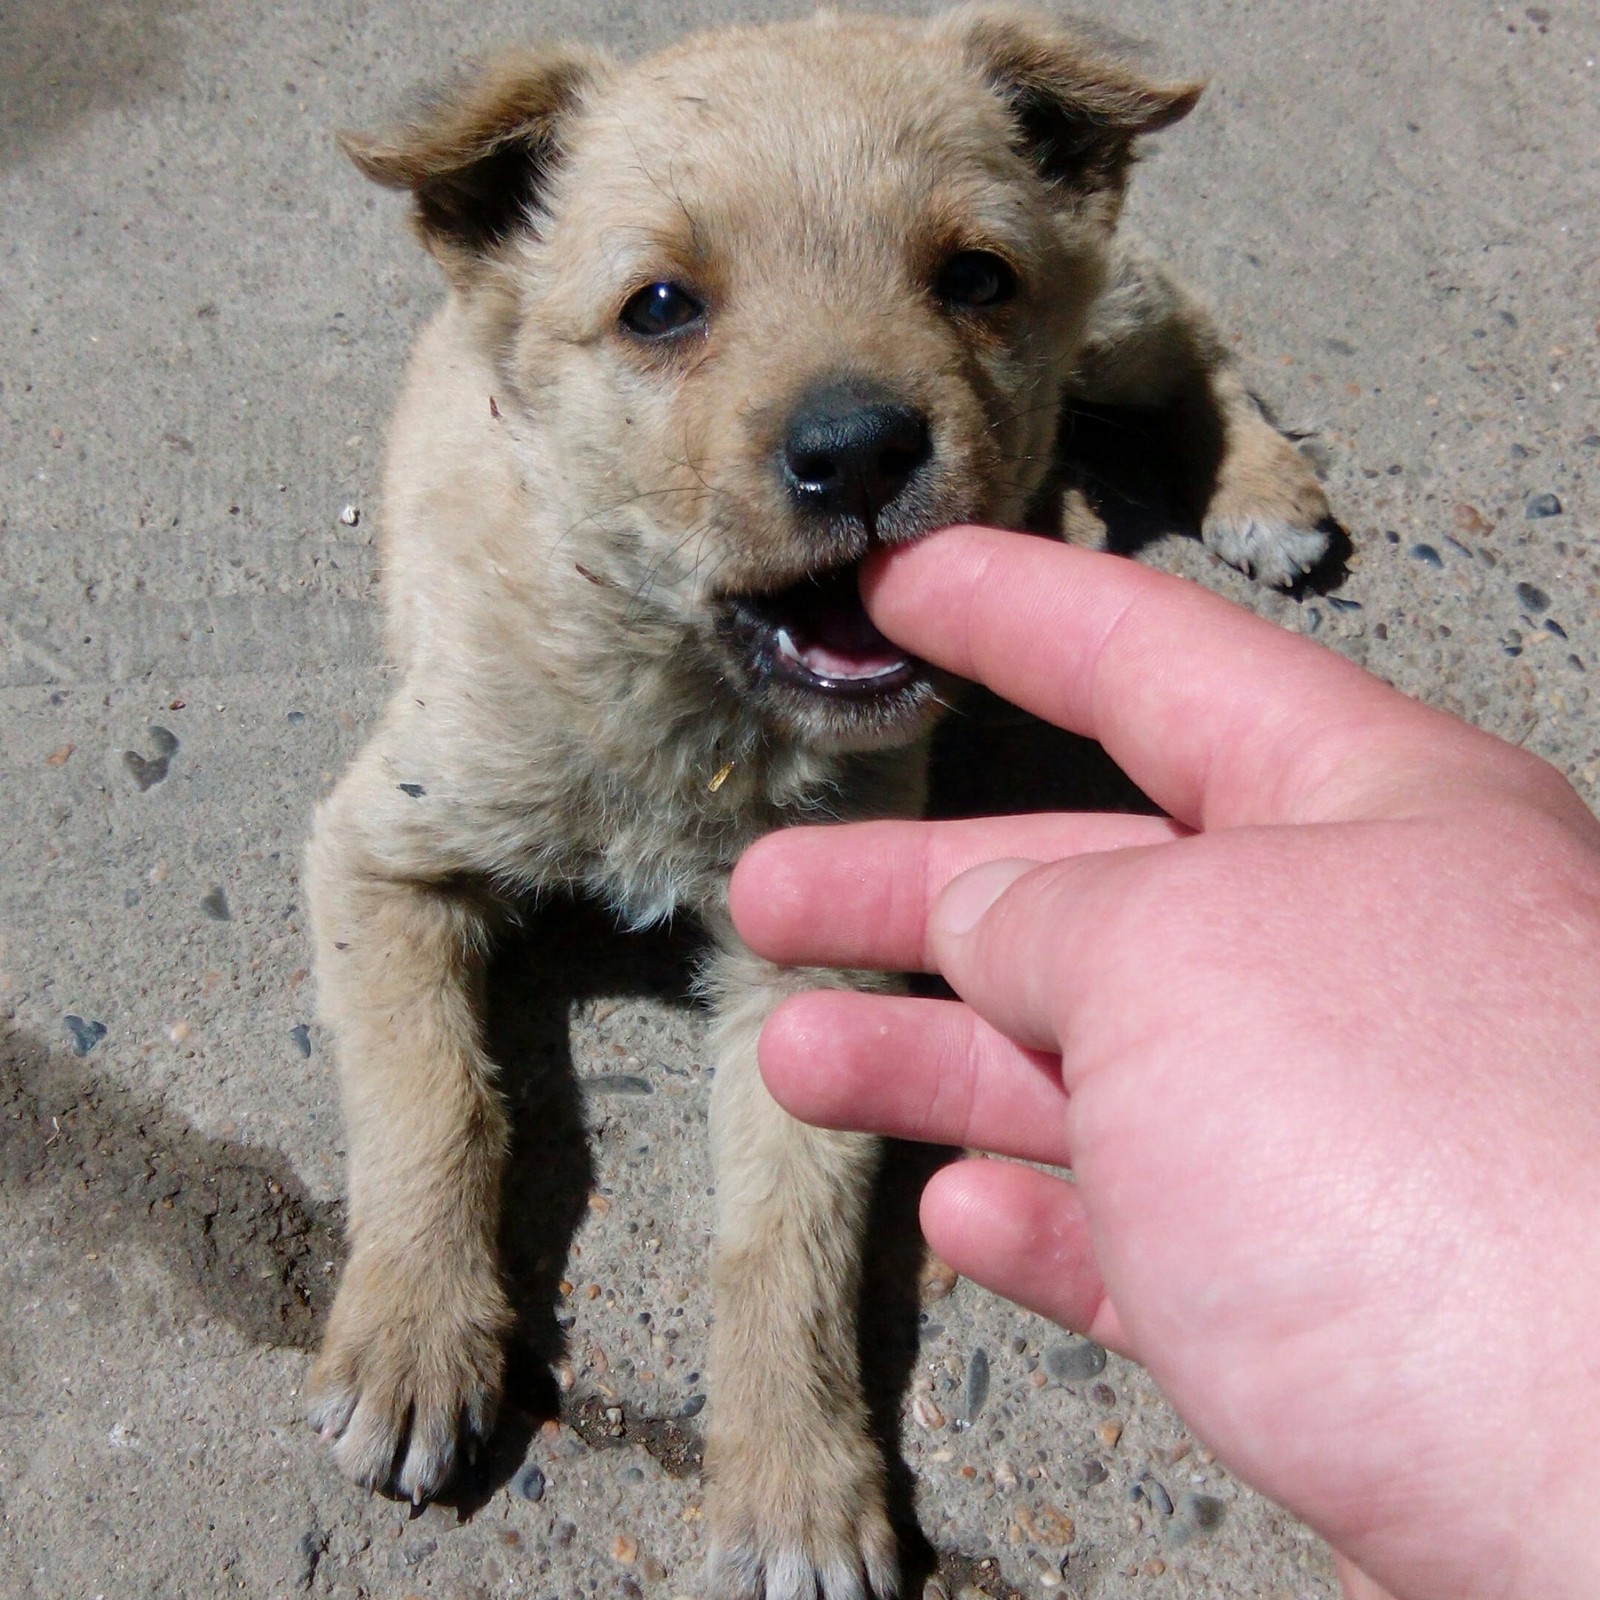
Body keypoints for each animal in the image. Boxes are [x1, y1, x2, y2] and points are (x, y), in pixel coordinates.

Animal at [305, 6, 1331, 1593]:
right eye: (660, 305)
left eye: (972, 277)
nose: (857, 451)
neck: (684, 692)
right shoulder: (384, 850)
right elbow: (433, 1094)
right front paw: (413, 1334)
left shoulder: (817, 973)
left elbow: (785, 1240)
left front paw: (791, 1485)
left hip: (1104, 307)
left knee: (1195, 335)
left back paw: (1262, 487)